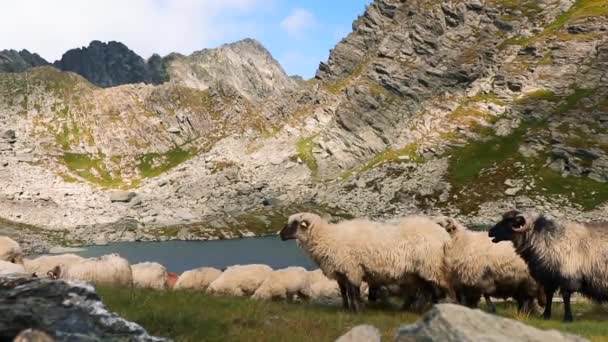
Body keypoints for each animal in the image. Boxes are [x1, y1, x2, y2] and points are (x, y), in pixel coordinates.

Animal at [282, 212, 452, 312]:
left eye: (294, 224)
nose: (280, 235)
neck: (329, 238)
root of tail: (444, 235)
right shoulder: (341, 272)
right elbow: (345, 292)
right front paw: (346, 308)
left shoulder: (352, 269)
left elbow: (354, 291)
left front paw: (358, 310)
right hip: (418, 271)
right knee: (427, 290)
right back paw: (413, 308)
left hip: (430, 266)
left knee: (435, 289)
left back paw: (425, 309)